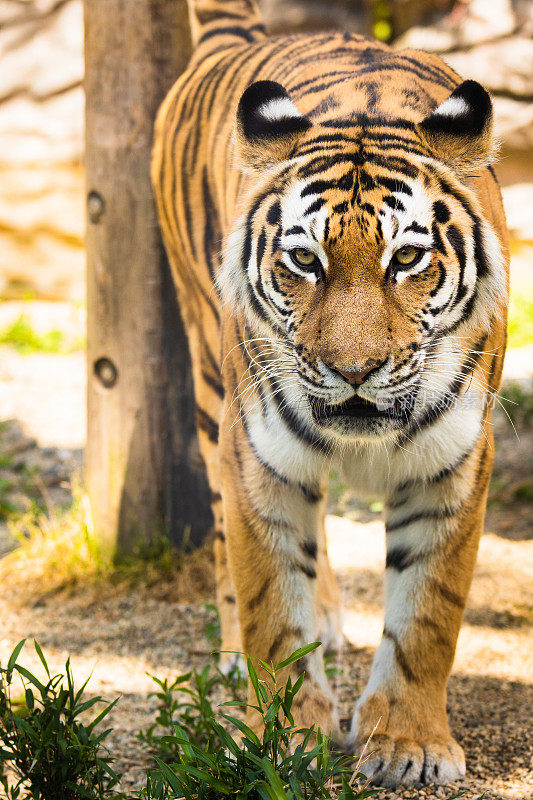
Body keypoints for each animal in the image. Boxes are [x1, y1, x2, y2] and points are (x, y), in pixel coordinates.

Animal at [150, 0, 508, 788]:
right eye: (304, 261)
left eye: (406, 258)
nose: (353, 369)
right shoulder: (258, 455)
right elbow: (271, 603)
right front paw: (285, 736)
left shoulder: (455, 461)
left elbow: (427, 612)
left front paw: (407, 745)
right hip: (210, 390)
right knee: (227, 544)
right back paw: (236, 654)